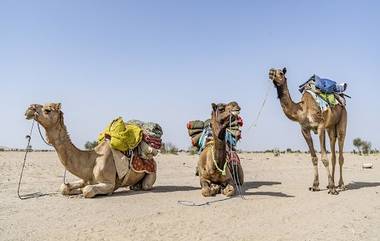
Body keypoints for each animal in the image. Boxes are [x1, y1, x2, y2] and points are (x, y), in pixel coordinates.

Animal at [25, 102, 156, 199]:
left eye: (48, 110)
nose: (29, 108)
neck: (90, 159)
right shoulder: (85, 177)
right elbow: (64, 187)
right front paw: (76, 190)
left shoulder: (109, 183)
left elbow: (87, 190)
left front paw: (85, 190)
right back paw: (134, 186)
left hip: (152, 172)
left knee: (146, 185)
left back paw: (137, 187)